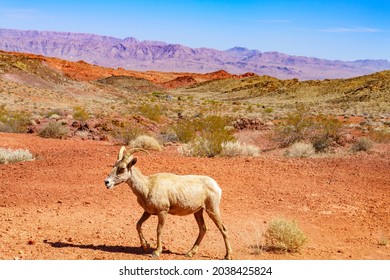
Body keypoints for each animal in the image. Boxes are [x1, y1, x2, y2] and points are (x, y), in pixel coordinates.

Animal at [103, 148, 232, 260]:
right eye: (114, 166)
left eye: (122, 168)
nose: (107, 182)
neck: (148, 186)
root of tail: (216, 186)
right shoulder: (148, 212)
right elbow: (138, 224)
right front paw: (145, 245)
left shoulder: (162, 212)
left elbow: (159, 230)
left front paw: (156, 252)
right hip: (198, 212)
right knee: (203, 229)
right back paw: (190, 253)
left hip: (212, 210)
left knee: (223, 229)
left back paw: (227, 256)